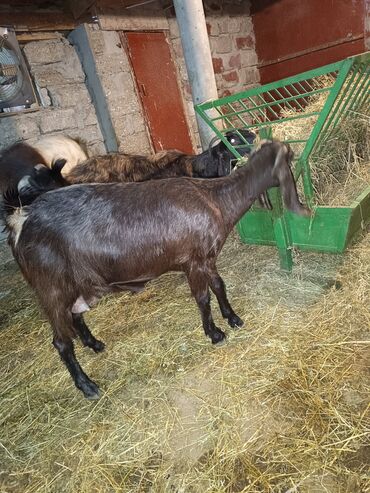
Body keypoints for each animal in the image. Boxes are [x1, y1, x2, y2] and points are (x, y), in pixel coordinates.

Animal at [3, 139, 310, 400]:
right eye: (288, 156)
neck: (215, 198)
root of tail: (21, 222)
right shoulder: (193, 261)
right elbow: (203, 298)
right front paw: (214, 333)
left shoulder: (207, 257)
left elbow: (219, 285)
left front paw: (233, 318)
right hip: (51, 286)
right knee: (61, 341)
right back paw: (87, 385)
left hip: (78, 282)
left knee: (76, 316)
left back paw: (95, 344)